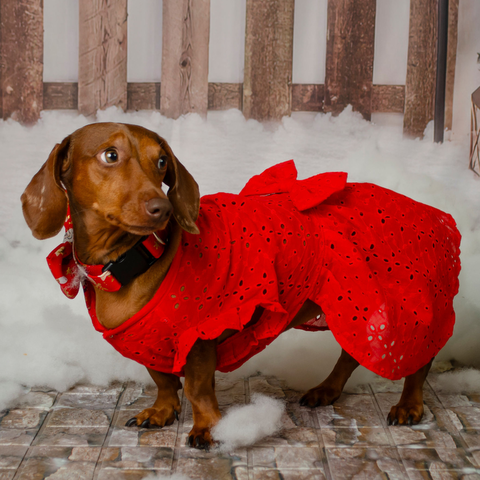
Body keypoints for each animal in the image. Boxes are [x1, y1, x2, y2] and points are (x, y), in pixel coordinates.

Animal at [21, 123, 462, 450]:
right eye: (109, 155)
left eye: (161, 161)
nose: (162, 209)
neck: (131, 259)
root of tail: (429, 211)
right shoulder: (149, 341)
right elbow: (162, 379)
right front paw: (162, 411)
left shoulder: (199, 336)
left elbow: (197, 387)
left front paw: (207, 429)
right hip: (356, 309)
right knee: (352, 354)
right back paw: (327, 390)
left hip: (397, 307)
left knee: (418, 361)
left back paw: (409, 404)